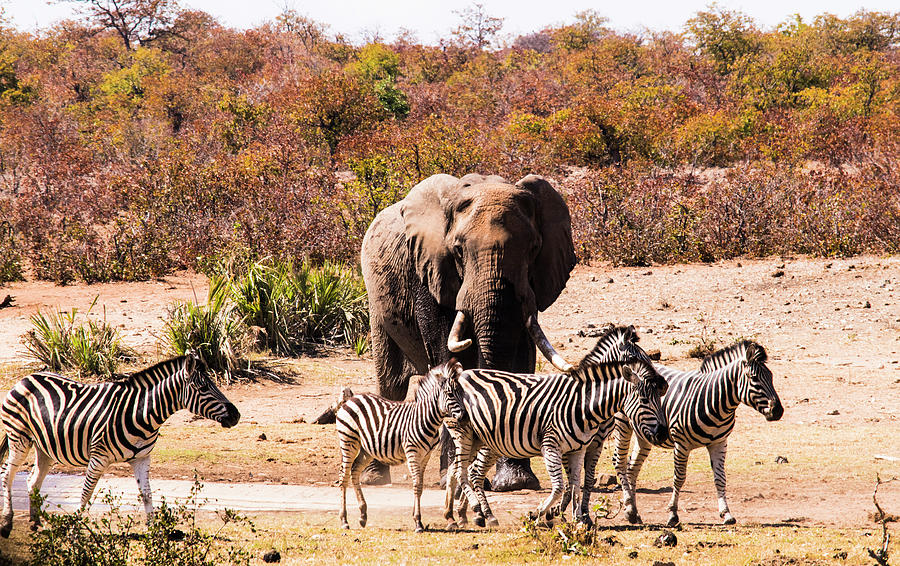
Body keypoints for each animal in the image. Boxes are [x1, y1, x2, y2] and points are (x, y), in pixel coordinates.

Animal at [0, 352, 239, 540]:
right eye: (203, 388)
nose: (236, 415)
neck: (141, 414)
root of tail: (26, 377)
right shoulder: (98, 458)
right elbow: (86, 494)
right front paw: (75, 531)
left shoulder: (142, 459)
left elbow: (147, 494)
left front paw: (155, 531)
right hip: (19, 437)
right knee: (7, 475)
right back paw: (7, 523)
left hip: (45, 447)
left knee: (33, 480)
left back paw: (35, 523)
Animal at [336, 362, 464, 536]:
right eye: (450, 394)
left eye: (461, 393)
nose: (464, 416)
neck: (426, 419)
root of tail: (352, 398)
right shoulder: (412, 452)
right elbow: (417, 485)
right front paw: (418, 522)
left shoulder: (425, 455)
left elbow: (420, 486)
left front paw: (417, 519)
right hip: (348, 442)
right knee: (344, 477)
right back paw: (344, 520)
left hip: (366, 449)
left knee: (354, 472)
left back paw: (362, 515)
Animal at [360, 172, 576, 492]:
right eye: (458, 250)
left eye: (534, 249)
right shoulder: (430, 273)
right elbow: (447, 353)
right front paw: (454, 478)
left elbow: (520, 357)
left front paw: (514, 483)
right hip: (376, 302)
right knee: (391, 382)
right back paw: (374, 478)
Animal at [616, 342, 784, 528]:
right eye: (754, 378)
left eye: (771, 377)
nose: (778, 411)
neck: (716, 403)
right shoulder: (681, 444)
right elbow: (679, 478)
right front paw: (672, 514)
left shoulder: (719, 443)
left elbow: (720, 478)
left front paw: (726, 514)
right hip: (623, 423)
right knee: (620, 464)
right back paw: (630, 509)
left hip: (645, 433)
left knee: (632, 469)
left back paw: (633, 513)